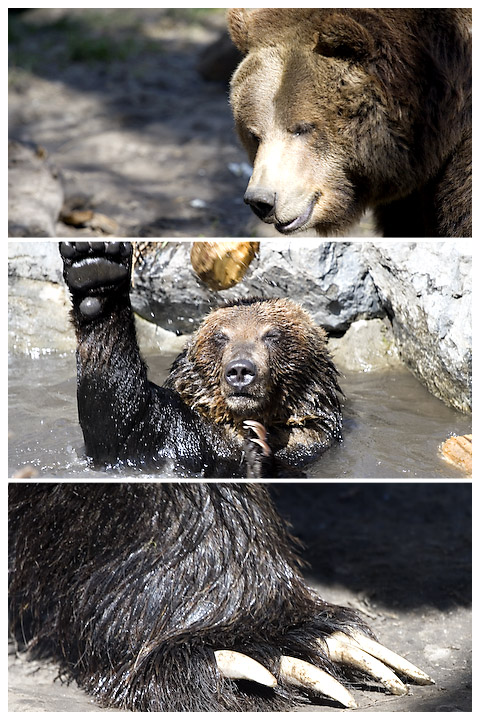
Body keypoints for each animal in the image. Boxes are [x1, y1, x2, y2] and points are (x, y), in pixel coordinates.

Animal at [59, 240, 342, 478]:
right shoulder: (178, 431)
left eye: (271, 335)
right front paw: (97, 270)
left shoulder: (306, 441)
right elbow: (118, 427)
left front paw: (259, 450)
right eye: (221, 336)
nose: (240, 370)